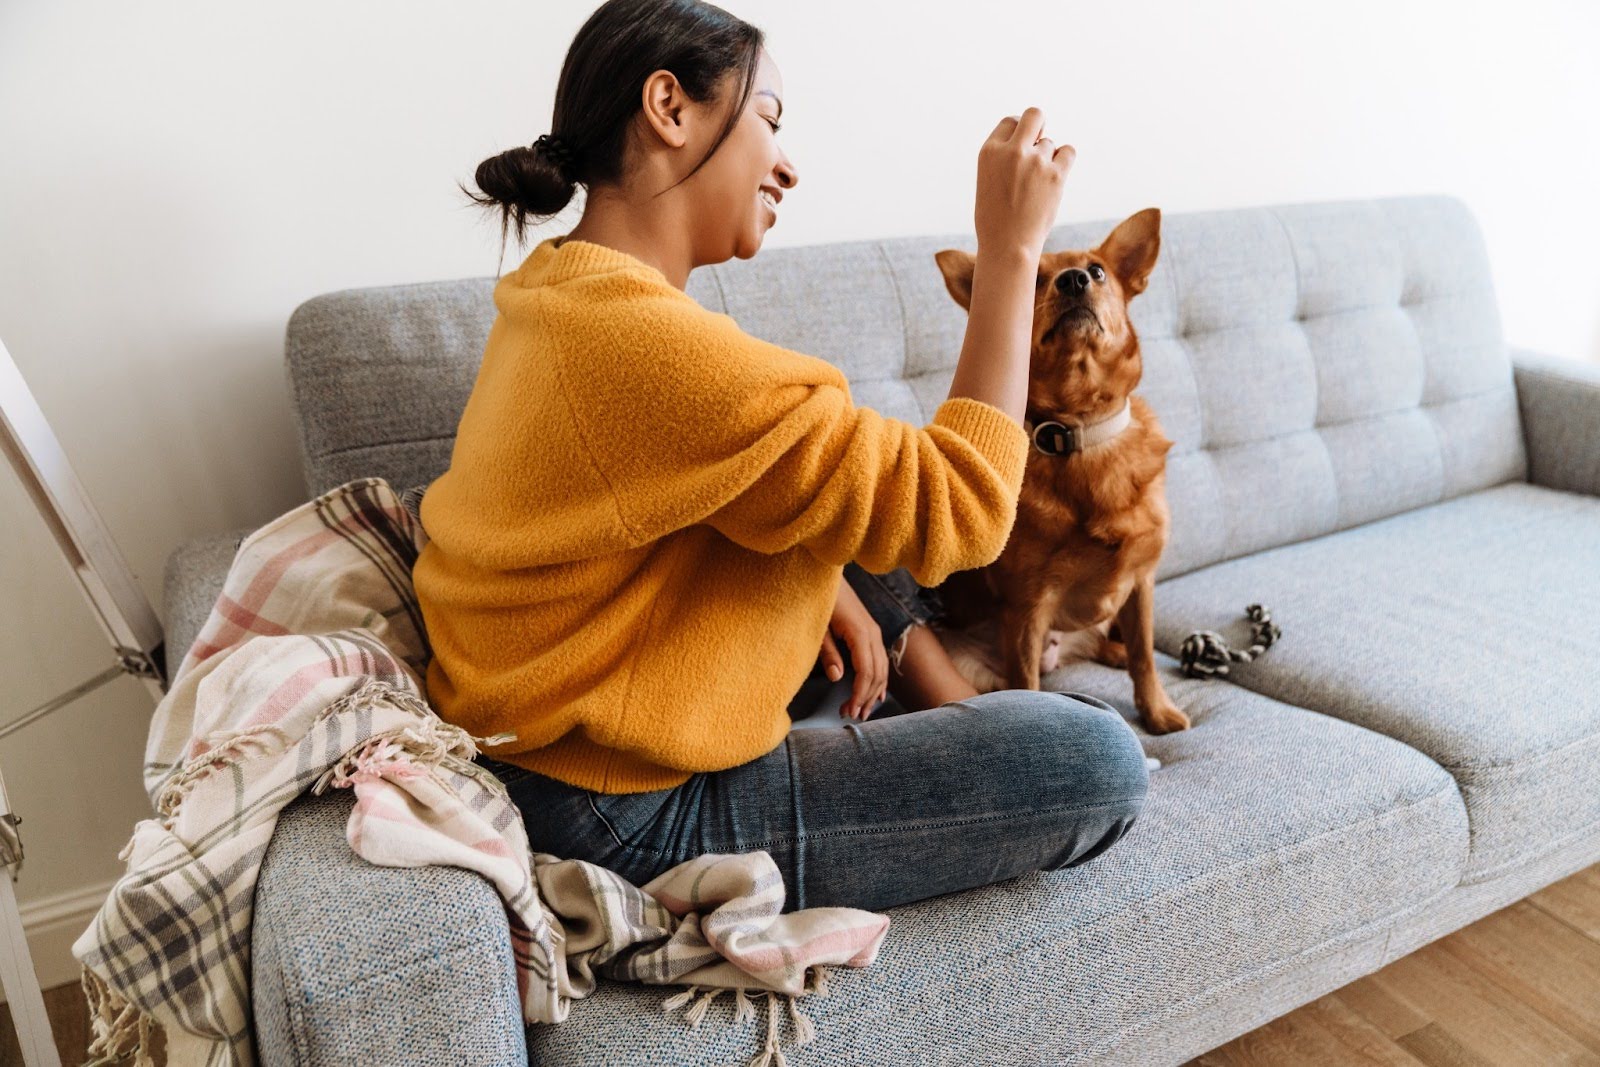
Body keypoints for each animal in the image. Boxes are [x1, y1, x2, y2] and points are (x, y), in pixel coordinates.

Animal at [928, 206, 1190, 735]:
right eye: (1033, 278)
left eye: (1098, 272)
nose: (1073, 280)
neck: (1081, 429)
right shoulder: (1028, 609)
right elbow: (1027, 685)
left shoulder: (1142, 583)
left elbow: (1146, 657)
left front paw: (1156, 711)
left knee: (1116, 645)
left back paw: (1113, 651)